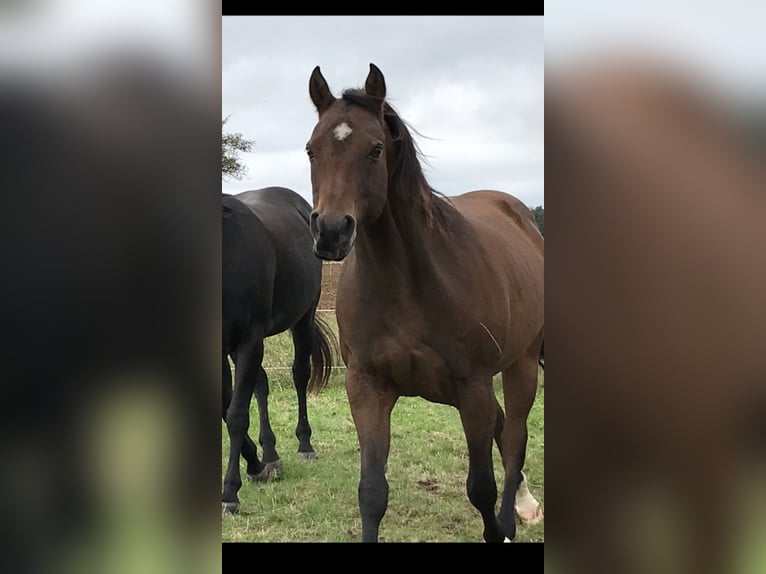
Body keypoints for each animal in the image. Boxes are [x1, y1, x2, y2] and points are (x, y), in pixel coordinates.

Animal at [219, 187, 332, 516]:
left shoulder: (249, 340)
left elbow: (236, 415)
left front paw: (230, 492)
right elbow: (226, 409)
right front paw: (257, 464)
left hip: (303, 318)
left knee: (300, 375)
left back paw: (305, 445)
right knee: (261, 383)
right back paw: (270, 454)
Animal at [306, 64, 544, 544]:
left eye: (375, 149)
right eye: (311, 150)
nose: (331, 231)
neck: (407, 285)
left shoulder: (473, 389)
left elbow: (482, 487)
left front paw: (498, 528)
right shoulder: (367, 387)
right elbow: (372, 492)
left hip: (522, 365)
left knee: (513, 441)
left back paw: (518, 512)